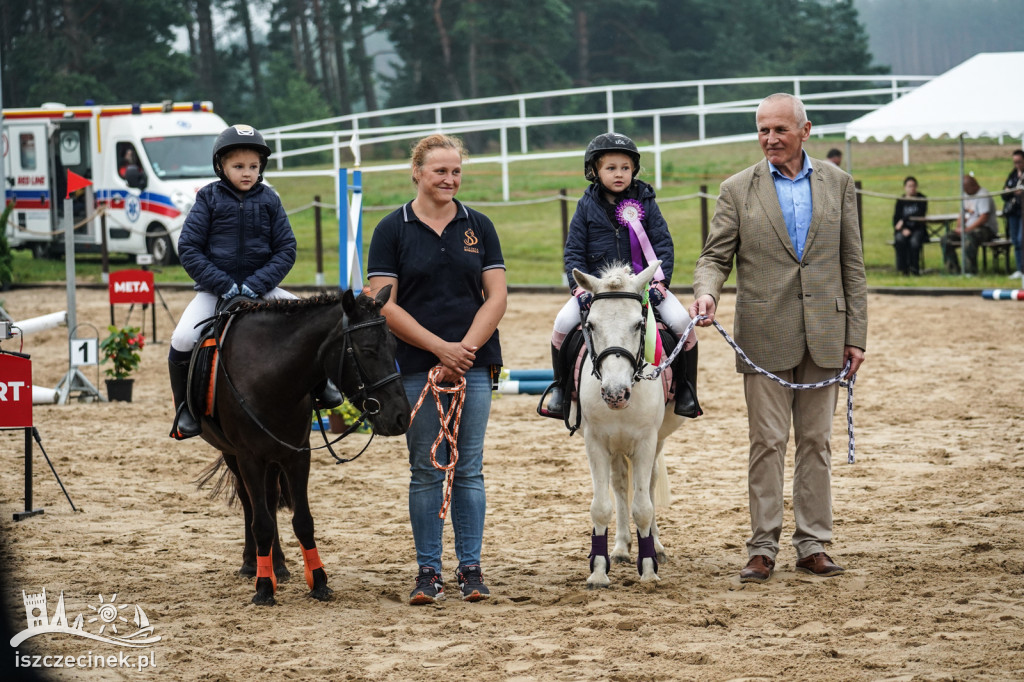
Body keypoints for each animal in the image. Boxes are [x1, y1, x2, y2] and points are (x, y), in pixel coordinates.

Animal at [195, 284, 407, 602]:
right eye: (368, 350)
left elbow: (303, 521)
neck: (270, 377)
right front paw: (263, 588)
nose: (401, 416)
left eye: (395, 348)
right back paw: (251, 565)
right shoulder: (249, 457)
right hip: (234, 454)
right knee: (250, 503)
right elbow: (261, 522)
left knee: (269, 501)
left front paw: (318, 582)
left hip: (273, 456)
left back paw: (278, 566)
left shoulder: (297, 454)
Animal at [573, 258, 684, 585]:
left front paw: (648, 570)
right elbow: (601, 507)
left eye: (638, 325)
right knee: (621, 484)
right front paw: (599, 572)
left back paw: (655, 546)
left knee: (648, 485)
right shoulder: (596, 443)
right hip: (615, 447)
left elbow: (644, 507)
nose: (614, 393)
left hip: (655, 442)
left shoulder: (646, 442)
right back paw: (621, 548)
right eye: (591, 325)